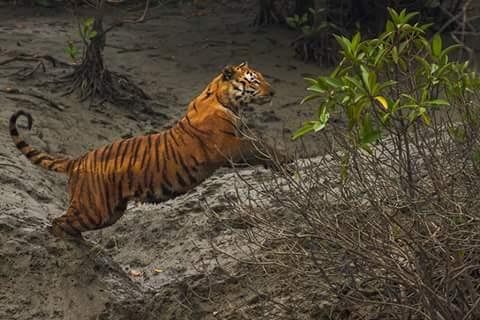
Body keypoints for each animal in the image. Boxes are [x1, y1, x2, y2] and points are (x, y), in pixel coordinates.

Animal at [10, 62, 288, 240]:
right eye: (254, 79)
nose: (274, 92)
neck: (226, 101)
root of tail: (77, 159)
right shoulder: (230, 146)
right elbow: (260, 146)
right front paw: (285, 158)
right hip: (94, 208)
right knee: (59, 222)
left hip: (111, 211)